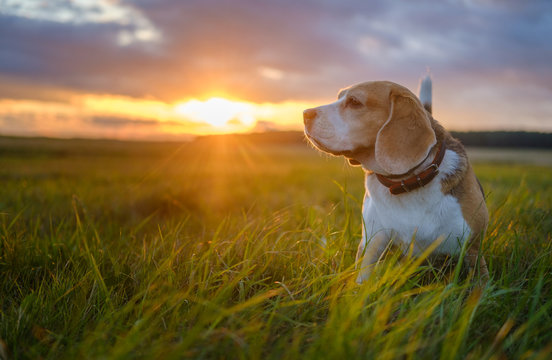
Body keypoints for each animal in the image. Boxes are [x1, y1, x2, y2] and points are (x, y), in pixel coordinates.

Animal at [304, 79, 490, 284]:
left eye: (354, 101)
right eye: (339, 97)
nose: (305, 114)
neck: (406, 182)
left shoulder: (473, 250)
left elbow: (480, 286)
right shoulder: (372, 242)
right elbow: (362, 280)